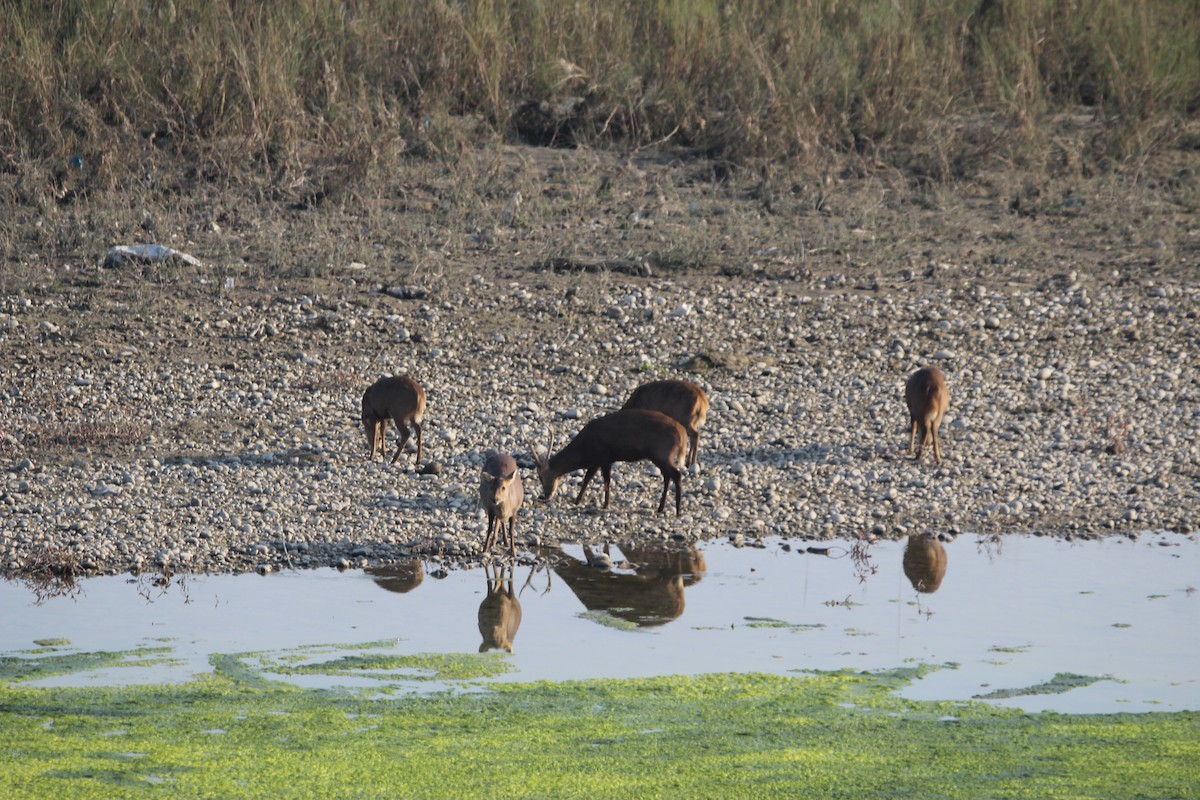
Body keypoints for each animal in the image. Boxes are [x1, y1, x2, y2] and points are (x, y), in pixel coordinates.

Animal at [528, 408, 687, 517]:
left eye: (541, 477)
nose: (546, 495)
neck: (585, 449)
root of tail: (682, 434)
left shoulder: (605, 457)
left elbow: (606, 480)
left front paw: (605, 504)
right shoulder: (596, 461)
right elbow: (587, 478)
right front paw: (577, 501)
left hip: (661, 453)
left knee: (676, 475)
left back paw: (678, 511)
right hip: (661, 456)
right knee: (668, 476)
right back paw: (661, 508)